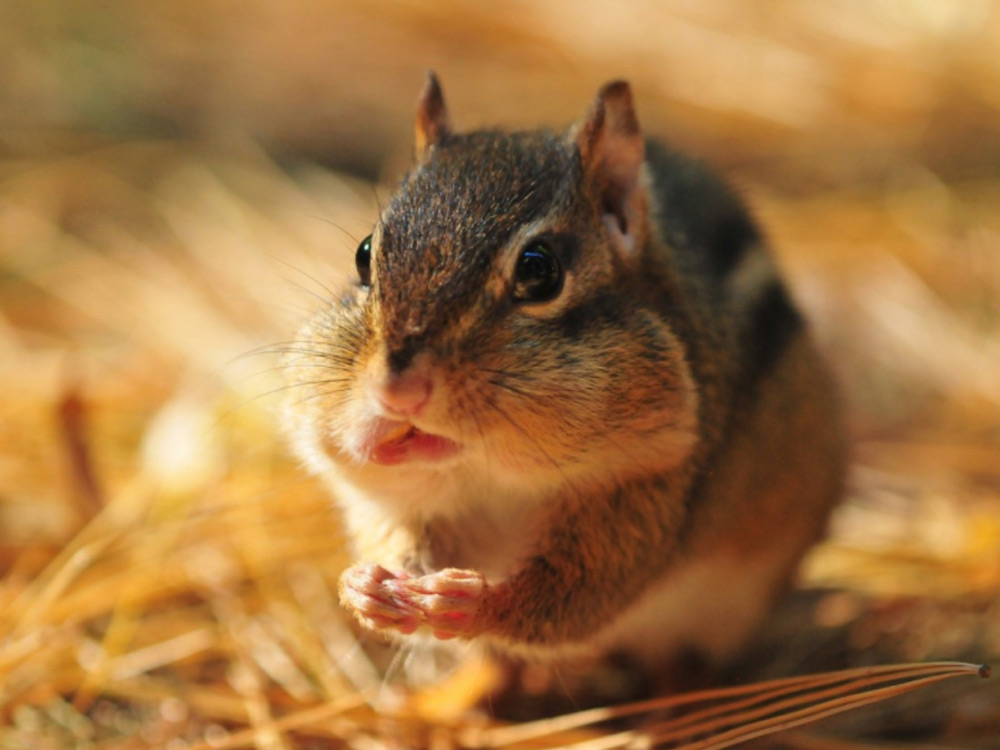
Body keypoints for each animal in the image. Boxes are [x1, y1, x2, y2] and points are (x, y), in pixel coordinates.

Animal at [283, 73, 846, 676]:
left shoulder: (646, 498)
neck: (493, 479)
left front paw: (473, 601)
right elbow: (392, 536)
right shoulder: (398, 501)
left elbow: (573, 596)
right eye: (365, 254)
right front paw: (365, 587)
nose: (397, 393)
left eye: (540, 271)